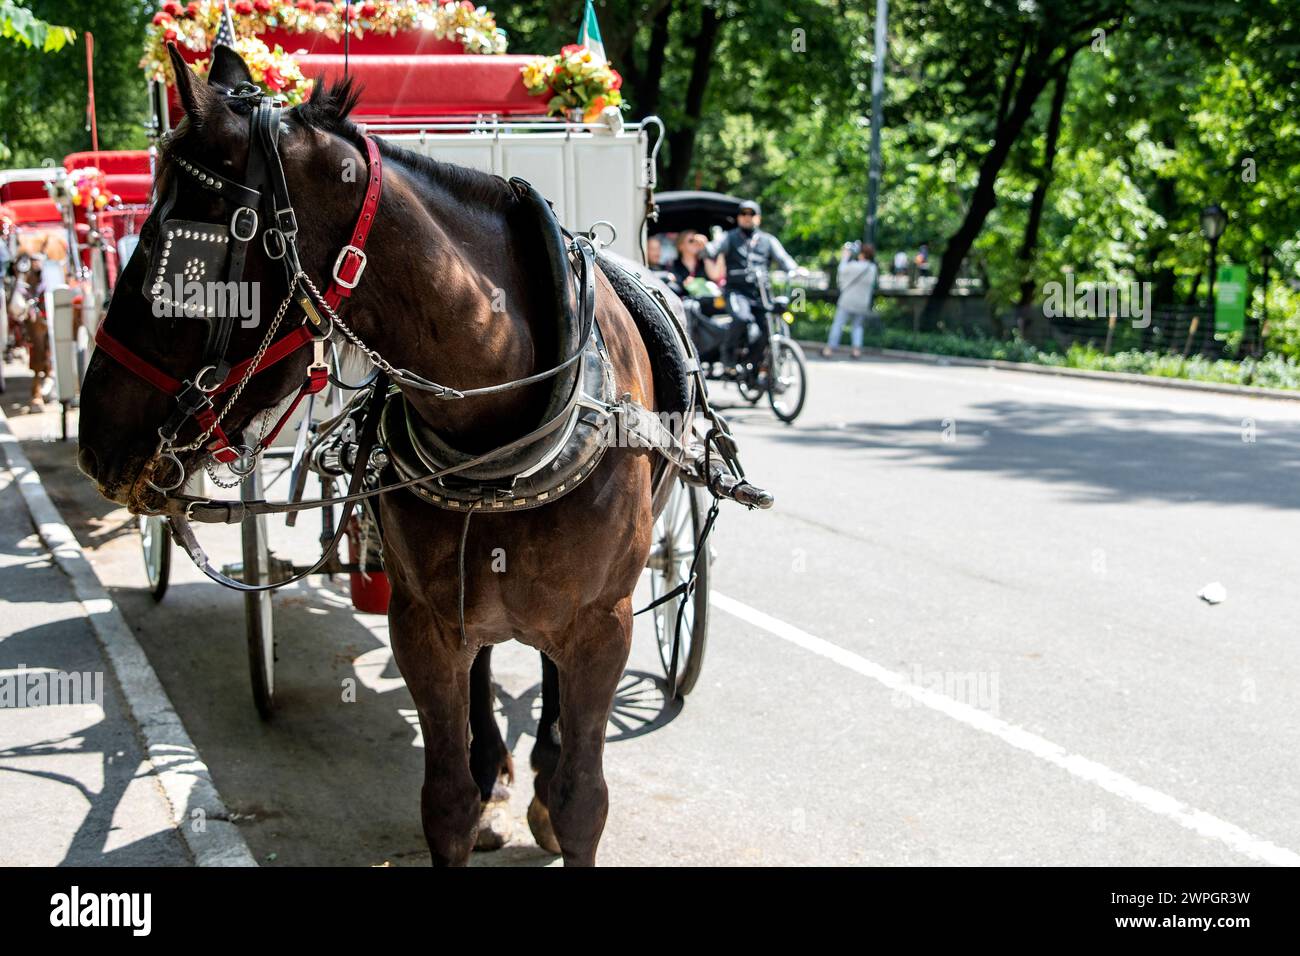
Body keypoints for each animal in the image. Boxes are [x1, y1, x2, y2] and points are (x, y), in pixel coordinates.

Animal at [78, 48, 670, 863]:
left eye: (181, 252)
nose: (93, 437)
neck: (503, 447)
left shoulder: (604, 626)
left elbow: (583, 802)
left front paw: (556, 793)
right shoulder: (421, 623)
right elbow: (445, 801)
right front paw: (479, 792)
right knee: (486, 660)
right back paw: (496, 773)